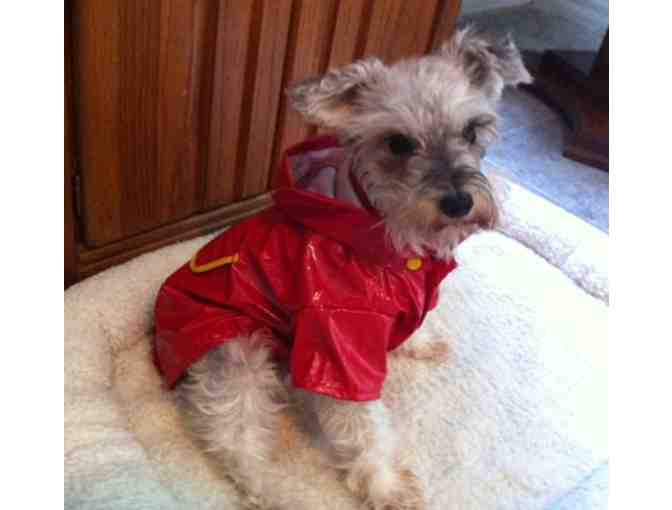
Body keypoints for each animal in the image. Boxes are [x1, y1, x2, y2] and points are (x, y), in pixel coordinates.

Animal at [153, 27, 531, 510]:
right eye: (398, 142)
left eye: (472, 130)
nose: (459, 201)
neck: (386, 235)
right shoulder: (339, 344)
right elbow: (365, 427)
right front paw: (387, 487)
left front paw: (423, 341)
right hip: (239, 351)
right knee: (232, 437)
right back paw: (271, 488)